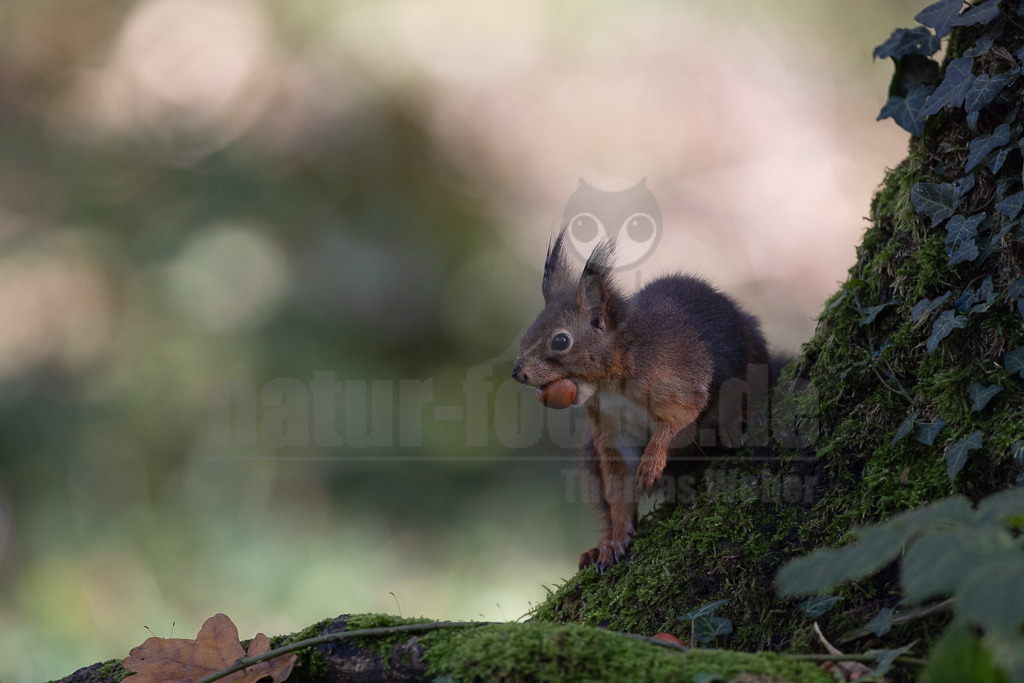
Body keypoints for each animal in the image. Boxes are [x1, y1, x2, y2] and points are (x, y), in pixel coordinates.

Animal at [512, 228, 772, 571]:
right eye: (528, 332)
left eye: (560, 340)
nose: (517, 373)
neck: (611, 386)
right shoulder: (610, 432)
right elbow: (619, 485)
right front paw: (615, 540)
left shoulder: (680, 380)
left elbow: (680, 418)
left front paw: (651, 464)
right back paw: (597, 546)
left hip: (751, 354)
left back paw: (737, 421)